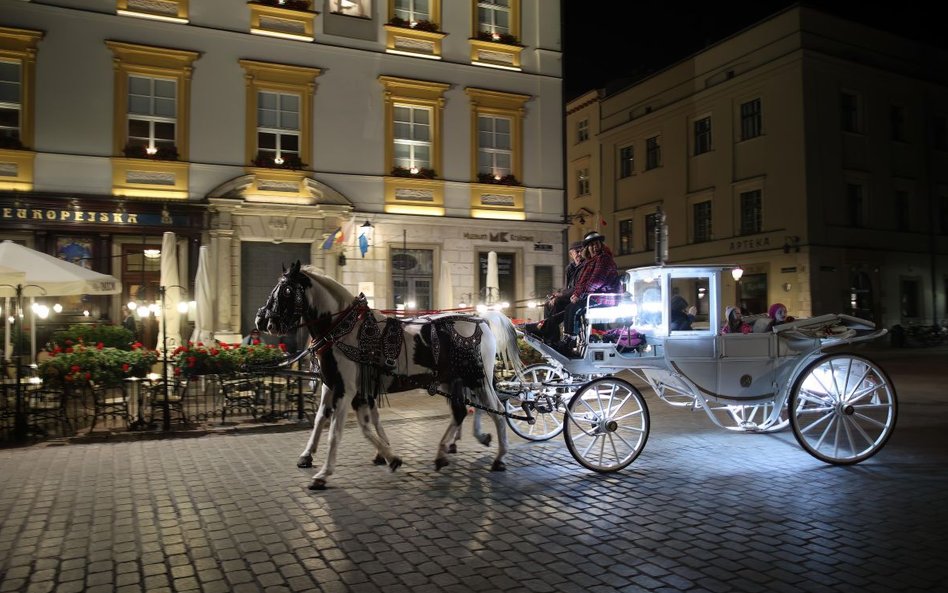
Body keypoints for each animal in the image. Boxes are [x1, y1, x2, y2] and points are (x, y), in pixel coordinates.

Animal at [256, 262, 524, 488]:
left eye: (287, 290)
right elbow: (330, 419)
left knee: (497, 411)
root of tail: (482, 320)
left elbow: (337, 430)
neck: (343, 330)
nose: (263, 321)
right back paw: (442, 453)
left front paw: (323, 473)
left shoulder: (347, 389)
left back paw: (499, 458)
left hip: (478, 379)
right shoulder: (335, 385)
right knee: (460, 412)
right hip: (452, 381)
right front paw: (385, 455)